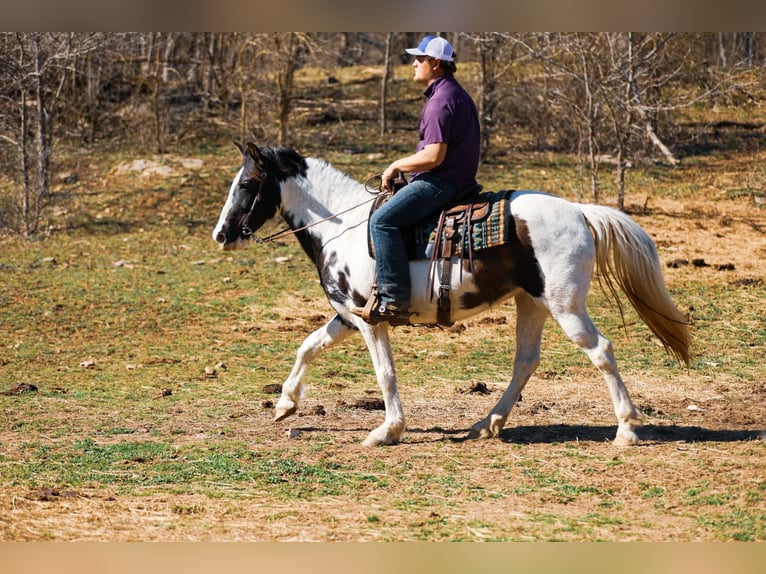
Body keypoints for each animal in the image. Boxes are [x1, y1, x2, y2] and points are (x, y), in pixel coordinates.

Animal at [212, 142, 691, 447]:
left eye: (247, 186)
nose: (221, 235)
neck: (341, 227)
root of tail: (578, 211)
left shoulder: (369, 320)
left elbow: (384, 373)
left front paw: (387, 431)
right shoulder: (350, 315)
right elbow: (308, 346)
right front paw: (285, 404)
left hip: (565, 306)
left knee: (601, 351)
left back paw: (626, 430)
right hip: (531, 303)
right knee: (526, 361)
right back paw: (486, 423)